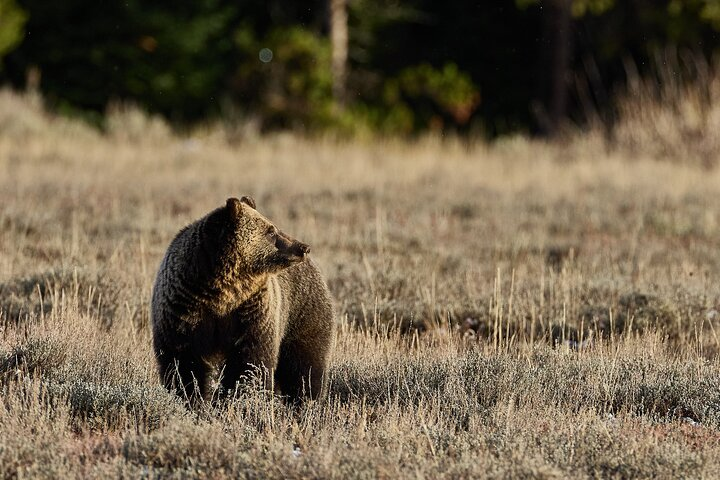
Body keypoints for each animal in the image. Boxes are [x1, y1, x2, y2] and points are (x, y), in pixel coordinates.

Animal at [151, 196, 335, 404]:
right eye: (271, 231)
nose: (303, 247)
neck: (222, 293)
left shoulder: (251, 311)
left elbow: (250, 361)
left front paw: (244, 398)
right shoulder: (184, 308)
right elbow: (182, 363)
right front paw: (189, 397)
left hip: (302, 310)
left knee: (305, 362)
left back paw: (307, 400)